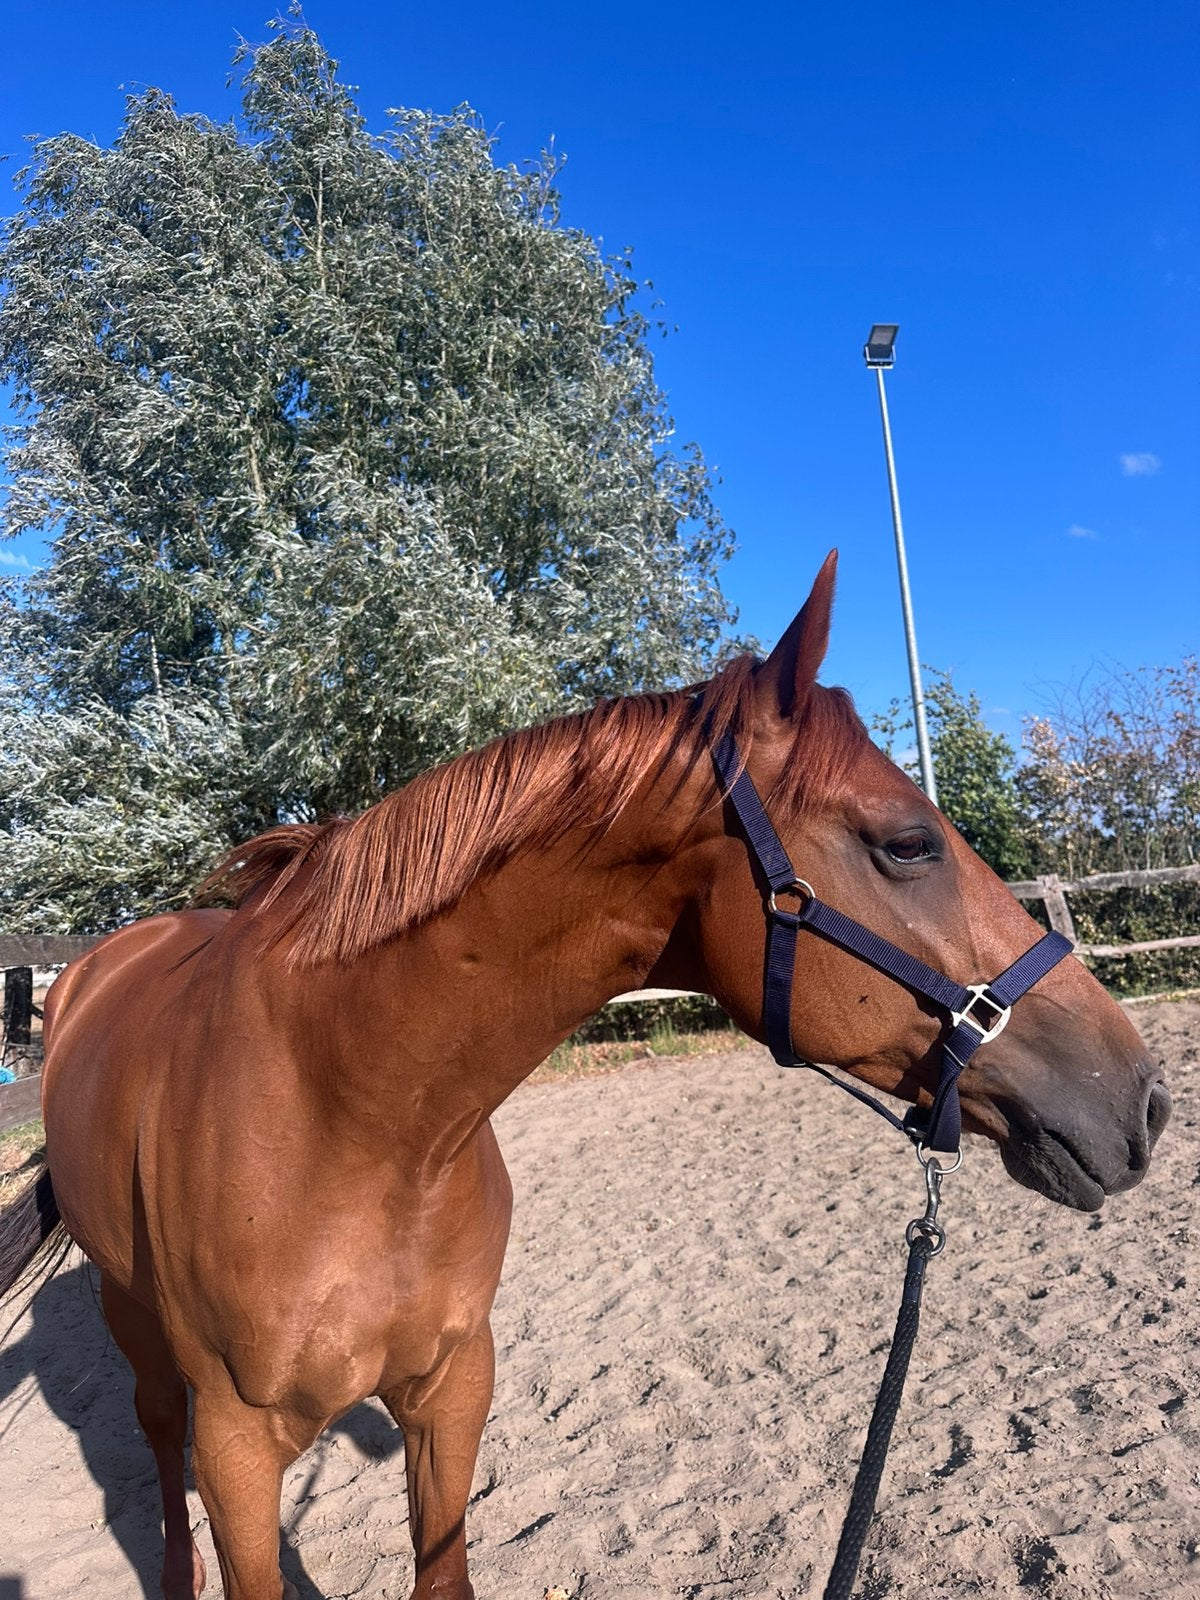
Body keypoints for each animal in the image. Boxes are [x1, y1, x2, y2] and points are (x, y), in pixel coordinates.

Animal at [0, 552, 1170, 1600]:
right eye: (909, 844)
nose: (1145, 1098)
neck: (350, 1125)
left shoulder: (452, 1389)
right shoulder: (240, 1451)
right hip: (134, 1320)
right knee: (155, 1433)